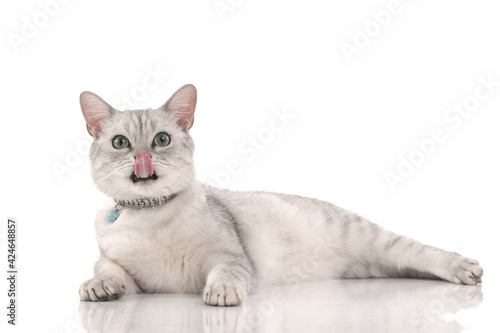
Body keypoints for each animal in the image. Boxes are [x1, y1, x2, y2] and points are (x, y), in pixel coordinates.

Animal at [79, 83, 484, 306]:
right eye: (121, 143)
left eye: (161, 140)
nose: (142, 157)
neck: (151, 217)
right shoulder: (130, 274)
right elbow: (108, 271)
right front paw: (98, 286)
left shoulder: (229, 258)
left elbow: (226, 273)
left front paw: (221, 292)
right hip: (374, 267)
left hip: (377, 240)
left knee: (421, 252)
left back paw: (465, 269)